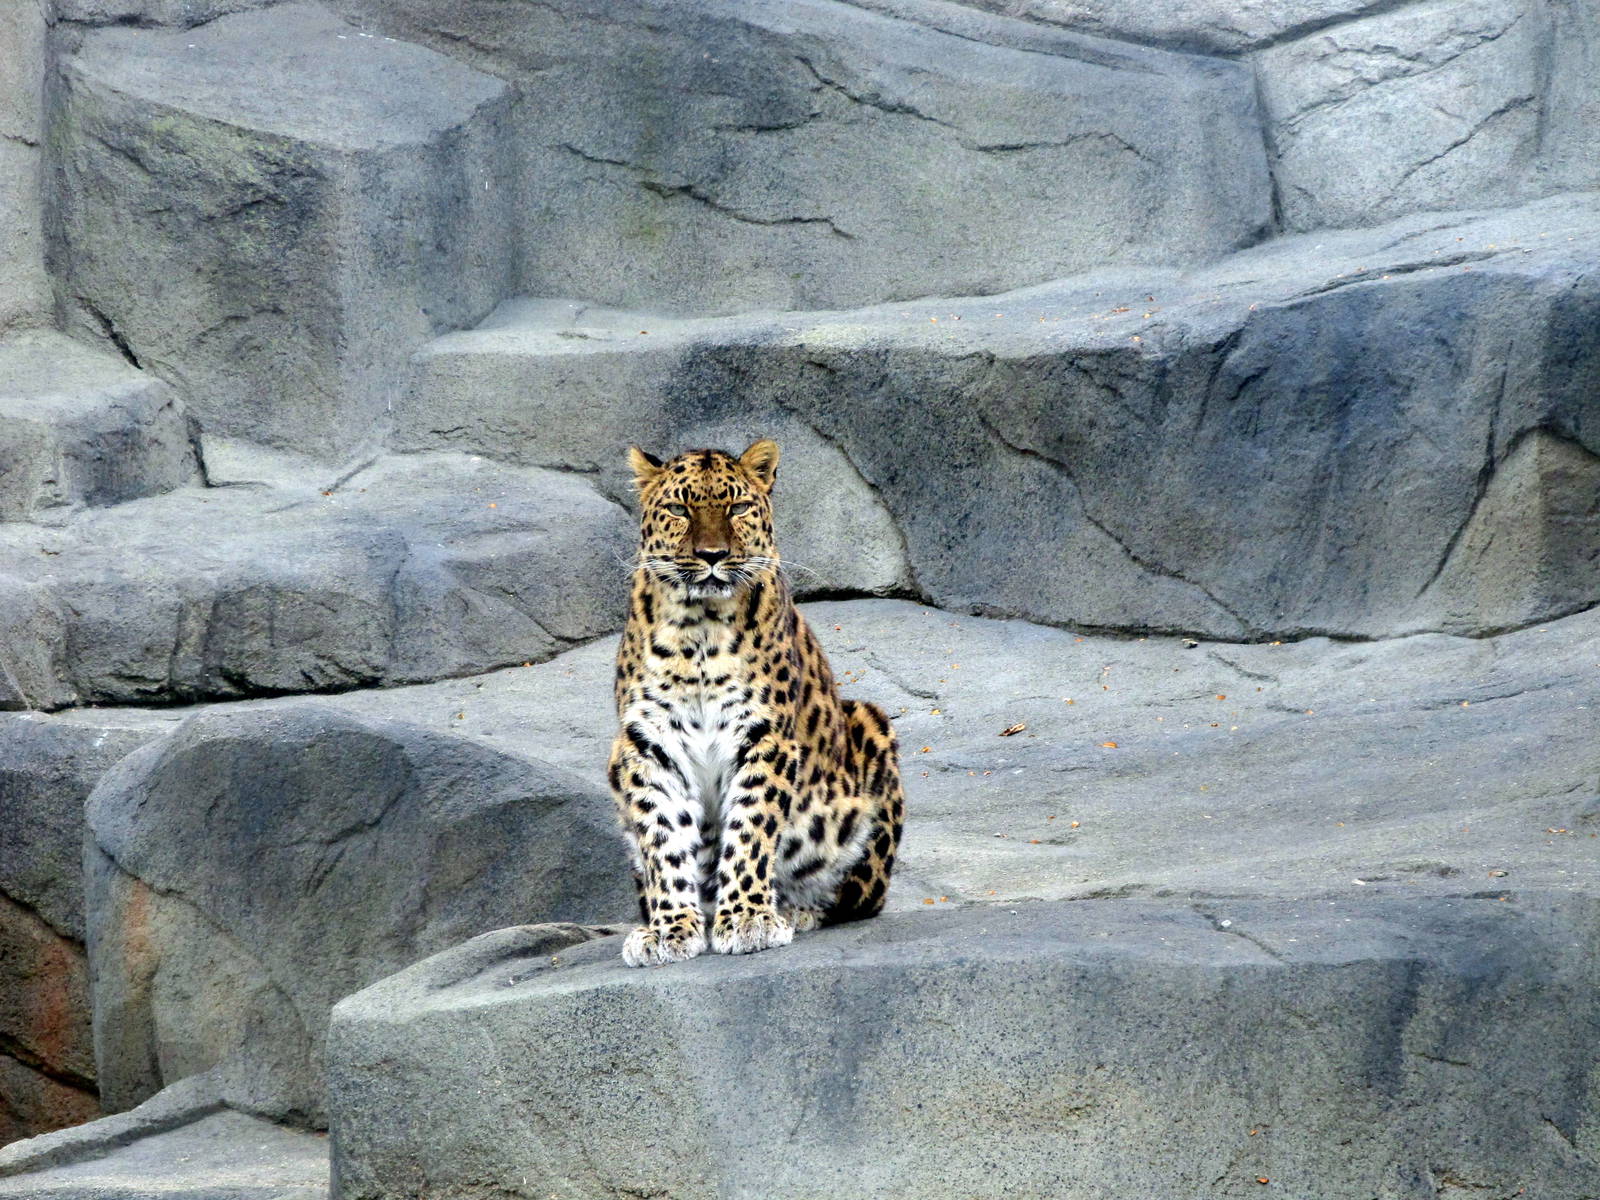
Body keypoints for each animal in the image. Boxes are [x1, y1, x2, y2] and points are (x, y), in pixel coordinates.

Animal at [607, 438, 905, 967]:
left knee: (853, 896)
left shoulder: (764, 737)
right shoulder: (648, 744)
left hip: (869, 726)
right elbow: (663, 839)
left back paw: (795, 909)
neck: (699, 631)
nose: (712, 555)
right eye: (680, 510)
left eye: (738, 508)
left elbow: (751, 828)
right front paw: (668, 929)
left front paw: (748, 918)